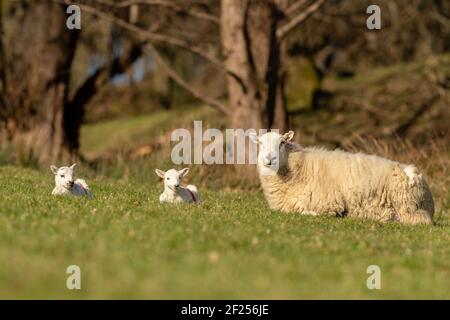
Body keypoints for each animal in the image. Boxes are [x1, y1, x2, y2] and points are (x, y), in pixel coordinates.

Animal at [250, 131, 436, 225]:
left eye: (282, 143)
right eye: (260, 143)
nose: (269, 159)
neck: (299, 168)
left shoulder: (329, 204)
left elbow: (306, 211)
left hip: (408, 209)